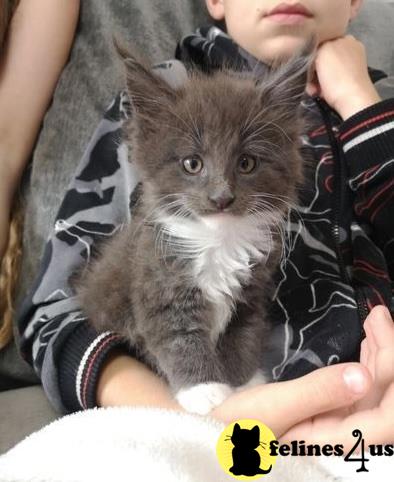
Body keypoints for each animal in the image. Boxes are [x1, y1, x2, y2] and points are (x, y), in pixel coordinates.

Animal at [75, 41, 312, 414]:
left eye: (247, 163)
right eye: (192, 164)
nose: (221, 197)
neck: (218, 241)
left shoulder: (251, 295)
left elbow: (242, 335)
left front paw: (244, 382)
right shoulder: (157, 283)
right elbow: (177, 338)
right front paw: (205, 391)